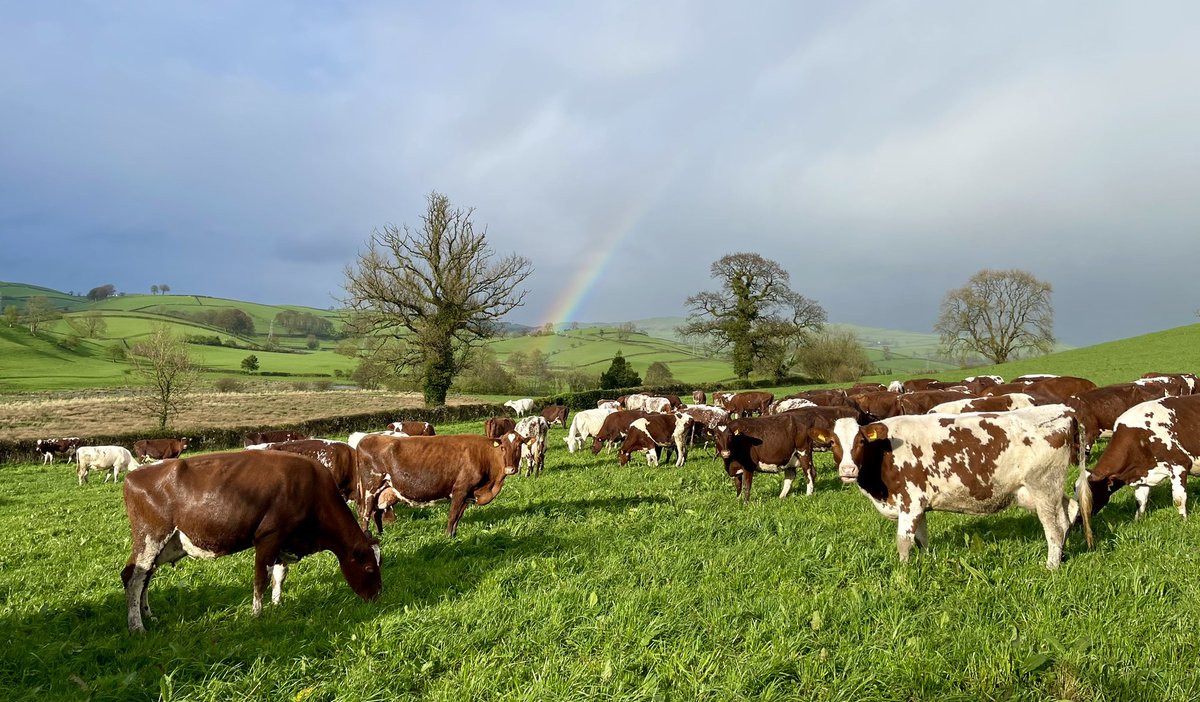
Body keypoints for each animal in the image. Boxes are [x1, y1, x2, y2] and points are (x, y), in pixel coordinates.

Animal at [117, 451, 379, 633]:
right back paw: (136, 626)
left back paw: (148, 615)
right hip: (151, 538)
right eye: (368, 568)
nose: (377, 596)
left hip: (163, 544)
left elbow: (279, 575)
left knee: (145, 576)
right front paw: (256, 614)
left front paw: (277, 604)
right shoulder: (268, 536)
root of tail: (134, 474)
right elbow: (260, 578)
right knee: (134, 578)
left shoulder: (285, 541)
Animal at [352, 427, 528, 537]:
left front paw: (454, 536)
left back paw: (381, 534)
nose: (510, 469)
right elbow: (452, 516)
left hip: (384, 490)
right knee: (365, 514)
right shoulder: (460, 490)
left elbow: (458, 517)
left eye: (519, 446)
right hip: (370, 489)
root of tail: (366, 438)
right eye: (503, 447)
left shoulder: (467, 495)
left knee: (376, 513)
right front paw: (448, 537)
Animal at [816, 405, 1089, 568]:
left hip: (1043, 487)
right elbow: (921, 538)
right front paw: (926, 562)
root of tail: (1061, 409)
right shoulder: (919, 504)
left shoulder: (910, 502)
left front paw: (902, 574)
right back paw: (1063, 556)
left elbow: (903, 542)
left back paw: (1051, 566)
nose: (848, 470)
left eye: (861, 441)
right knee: (1069, 512)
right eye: (833, 443)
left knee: (1053, 529)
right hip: (1042, 491)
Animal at [1080, 391, 1200, 523]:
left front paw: (1183, 521)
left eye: (1091, 495)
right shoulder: (1142, 473)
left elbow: (1179, 499)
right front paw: (1137, 521)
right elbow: (1140, 501)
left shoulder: (1178, 465)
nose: (1079, 519)